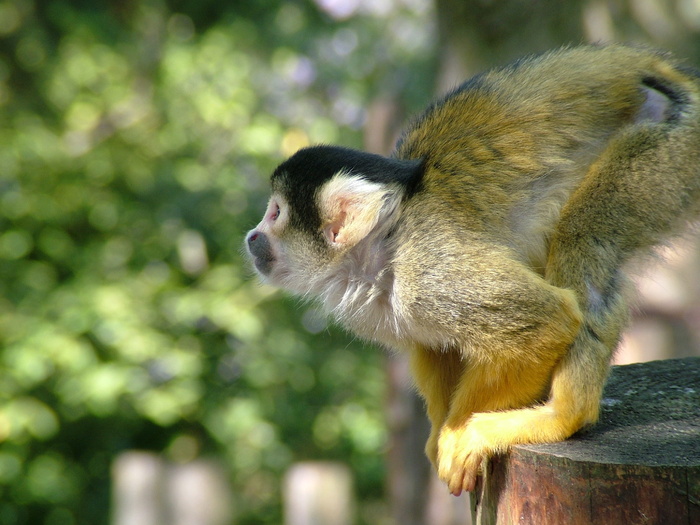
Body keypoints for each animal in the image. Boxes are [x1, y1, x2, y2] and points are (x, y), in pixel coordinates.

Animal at [243, 45, 700, 496]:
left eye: (275, 213)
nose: (251, 237)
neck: (381, 250)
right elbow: (435, 345)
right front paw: (439, 433)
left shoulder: (431, 272)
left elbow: (547, 319)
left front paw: (459, 432)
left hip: (672, 146)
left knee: (586, 236)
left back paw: (563, 415)